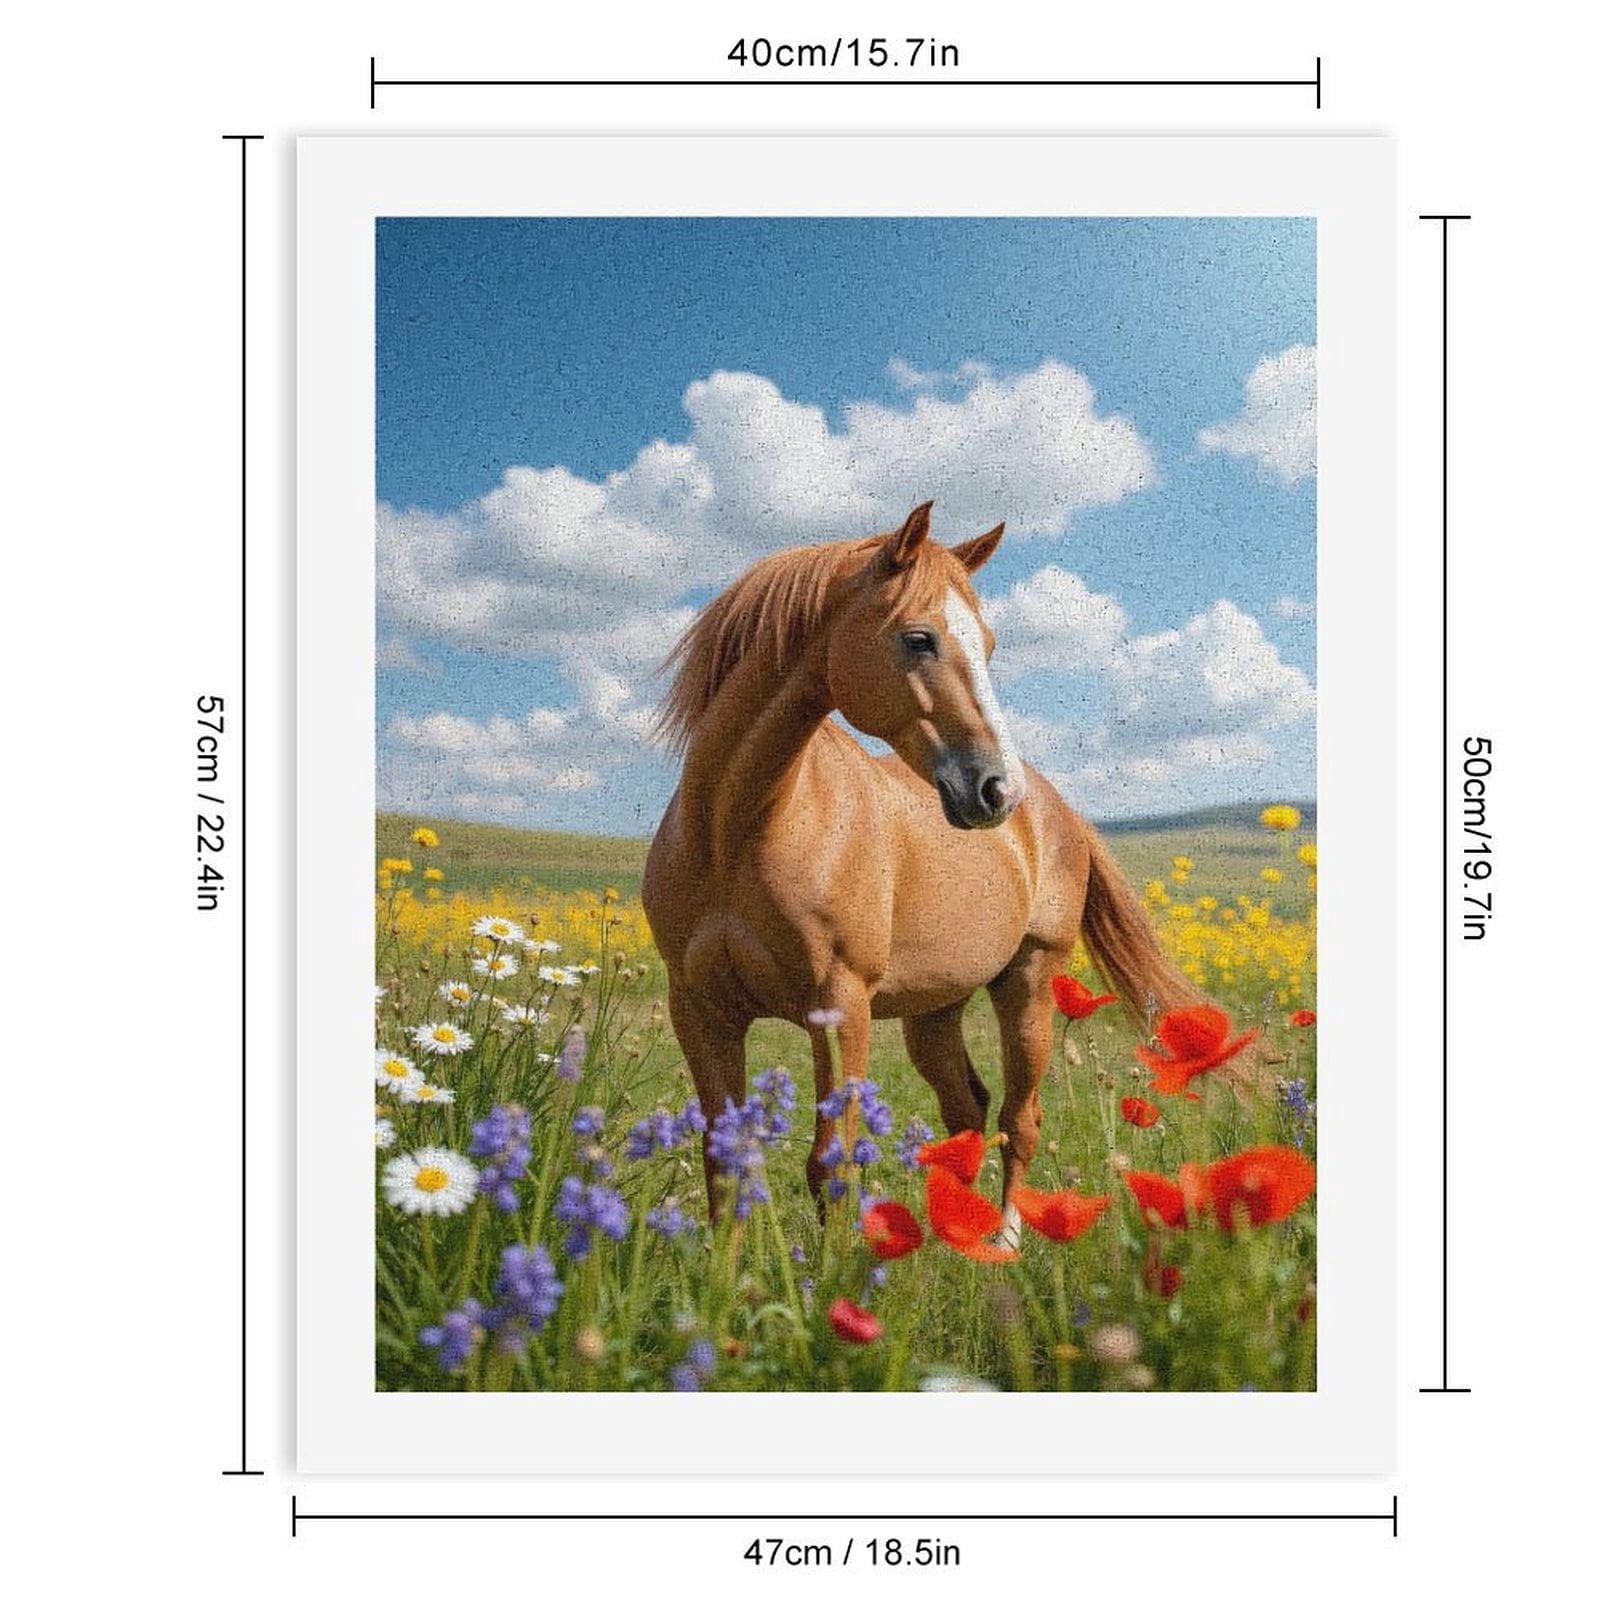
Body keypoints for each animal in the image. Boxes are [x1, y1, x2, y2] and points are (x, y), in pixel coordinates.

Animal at [641, 501, 1201, 1232]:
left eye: (987, 645)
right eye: (918, 639)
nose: (996, 790)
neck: (734, 836)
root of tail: (1056, 811)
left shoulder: (840, 1006)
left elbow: (832, 1163)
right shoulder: (699, 1011)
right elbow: (723, 1161)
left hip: (1029, 986)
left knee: (1020, 1119)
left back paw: (1006, 1238)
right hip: (936, 1010)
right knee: (968, 1110)